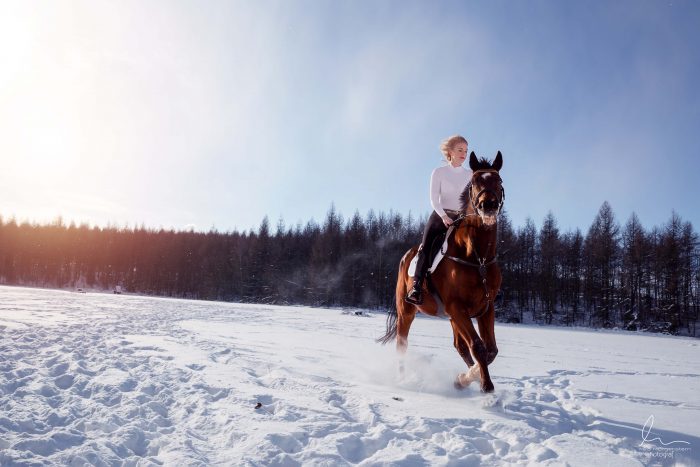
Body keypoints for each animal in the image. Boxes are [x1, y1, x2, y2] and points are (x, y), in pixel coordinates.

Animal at [378, 152, 504, 394]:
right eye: (474, 182)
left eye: (499, 181)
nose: (488, 205)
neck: (478, 258)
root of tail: (406, 255)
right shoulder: (457, 307)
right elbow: (479, 347)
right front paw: (486, 385)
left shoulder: (485, 307)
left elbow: (490, 350)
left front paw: (466, 378)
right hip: (407, 311)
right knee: (402, 343)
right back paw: (401, 379)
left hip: (452, 316)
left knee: (460, 346)